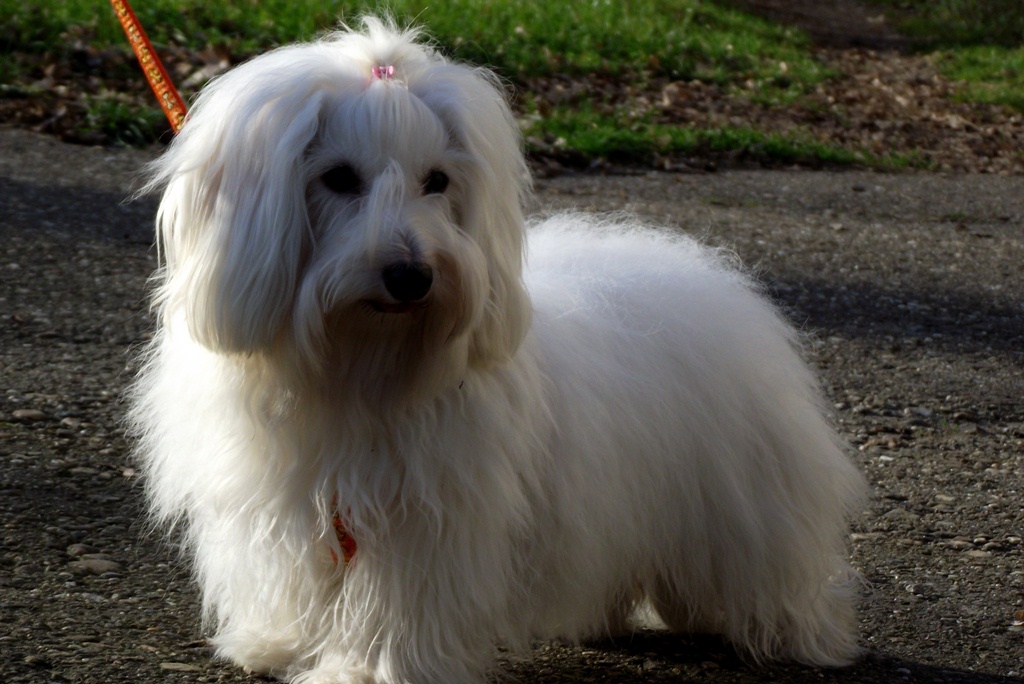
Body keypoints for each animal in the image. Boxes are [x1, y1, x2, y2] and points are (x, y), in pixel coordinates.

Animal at [129, 17, 866, 684]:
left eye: (437, 180)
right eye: (337, 178)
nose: (411, 275)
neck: (360, 363)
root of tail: (717, 282)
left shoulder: (427, 516)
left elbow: (397, 601)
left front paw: (366, 669)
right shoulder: (284, 502)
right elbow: (291, 575)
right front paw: (275, 642)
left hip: (744, 501)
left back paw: (793, 632)